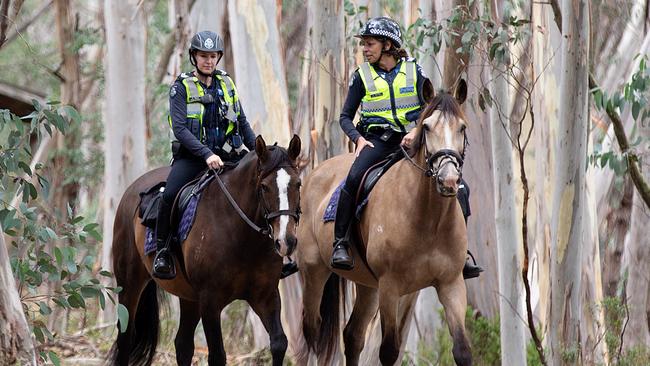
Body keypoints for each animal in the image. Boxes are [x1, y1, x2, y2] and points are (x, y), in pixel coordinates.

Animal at [109, 135, 302, 366]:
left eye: (298, 184)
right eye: (264, 187)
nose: (286, 241)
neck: (242, 236)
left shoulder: (266, 296)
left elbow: (279, 343)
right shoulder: (210, 301)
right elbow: (217, 355)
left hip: (189, 297)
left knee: (182, 345)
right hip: (129, 284)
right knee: (125, 336)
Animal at [294, 83, 470, 366]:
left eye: (462, 127)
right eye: (427, 127)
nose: (449, 179)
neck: (428, 219)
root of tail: (314, 173)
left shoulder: (451, 283)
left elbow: (463, 350)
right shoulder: (390, 286)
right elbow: (388, 351)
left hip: (367, 286)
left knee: (352, 335)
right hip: (314, 272)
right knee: (311, 331)